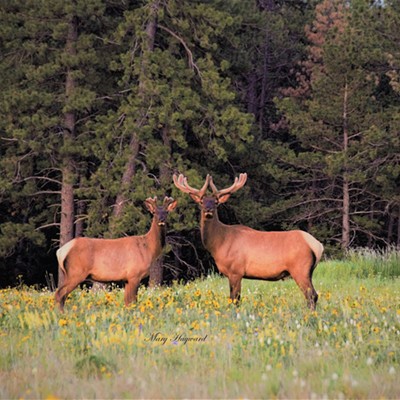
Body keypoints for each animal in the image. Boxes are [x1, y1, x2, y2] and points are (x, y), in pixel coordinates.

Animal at [173, 174, 324, 310]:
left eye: (216, 202)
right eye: (201, 202)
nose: (208, 210)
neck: (218, 244)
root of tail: (317, 246)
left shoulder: (236, 271)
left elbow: (235, 299)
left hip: (300, 269)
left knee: (312, 295)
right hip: (308, 272)